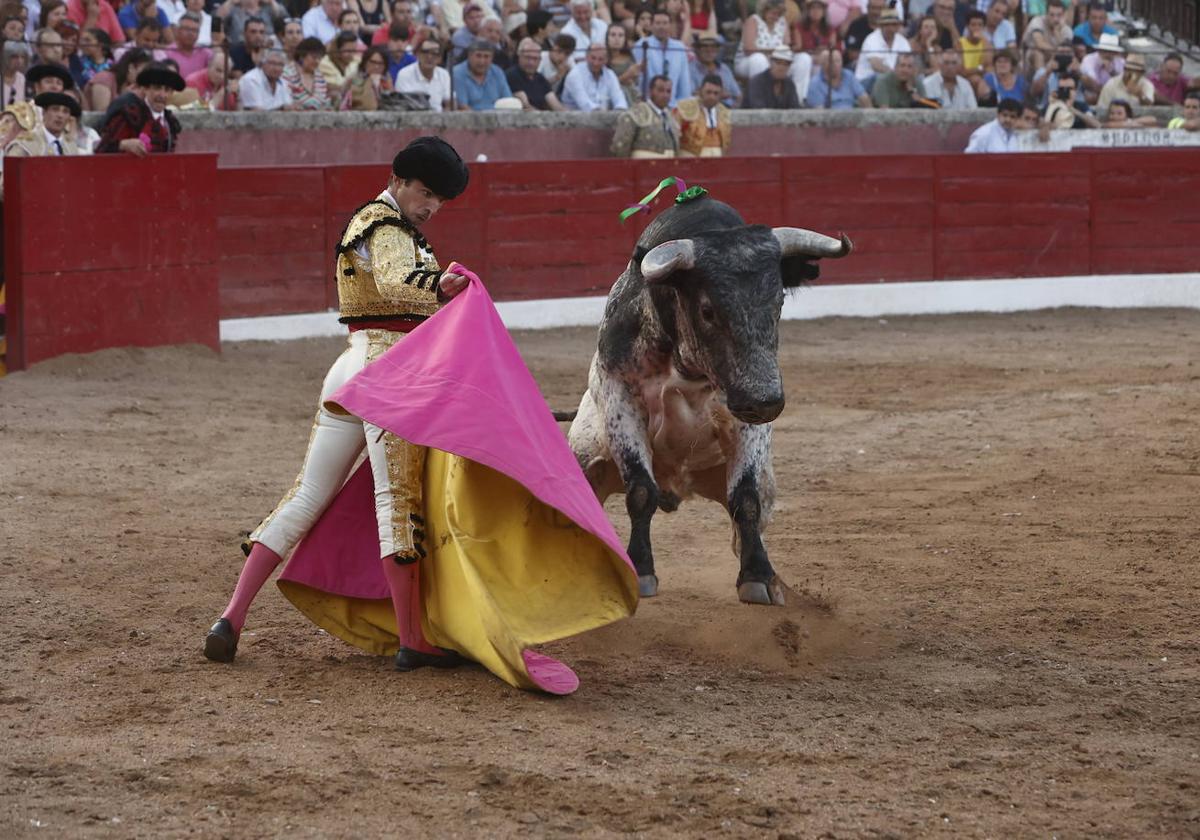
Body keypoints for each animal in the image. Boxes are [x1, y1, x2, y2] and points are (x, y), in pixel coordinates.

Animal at [566, 193, 849, 604]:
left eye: (778, 302)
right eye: (707, 310)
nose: (765, 400)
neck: (687, 365)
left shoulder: (745, 418)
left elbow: (745, 500)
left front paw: (759, 577)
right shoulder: (619, 394)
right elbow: (640, 491)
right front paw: (641, 571)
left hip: (761, 482)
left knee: (746, 521)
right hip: (586, 460)